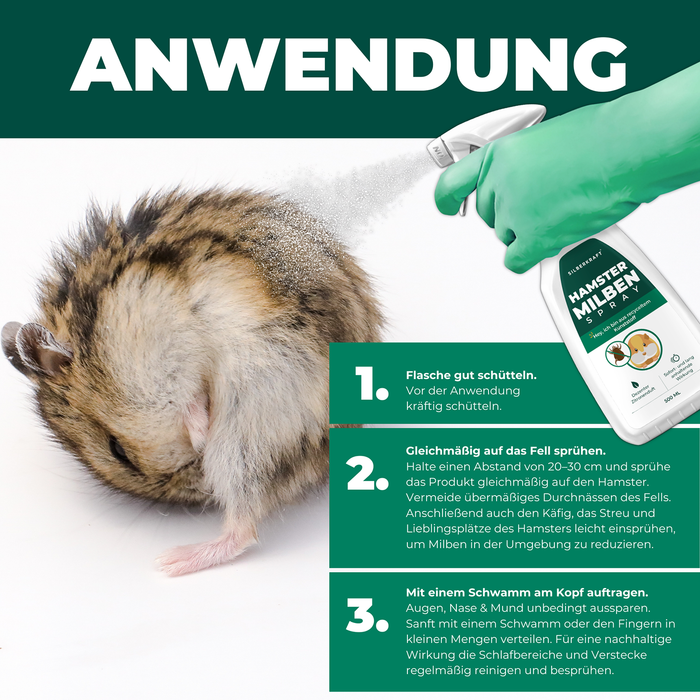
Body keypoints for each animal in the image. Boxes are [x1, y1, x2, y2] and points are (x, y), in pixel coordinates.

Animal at [2, 188, 382, 575]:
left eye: (117, 450)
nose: (200, 490)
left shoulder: (175, 330)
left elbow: (191, 392)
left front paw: (199, 433)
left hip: (253, 424)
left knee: (244, 529)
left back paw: (170, 562)